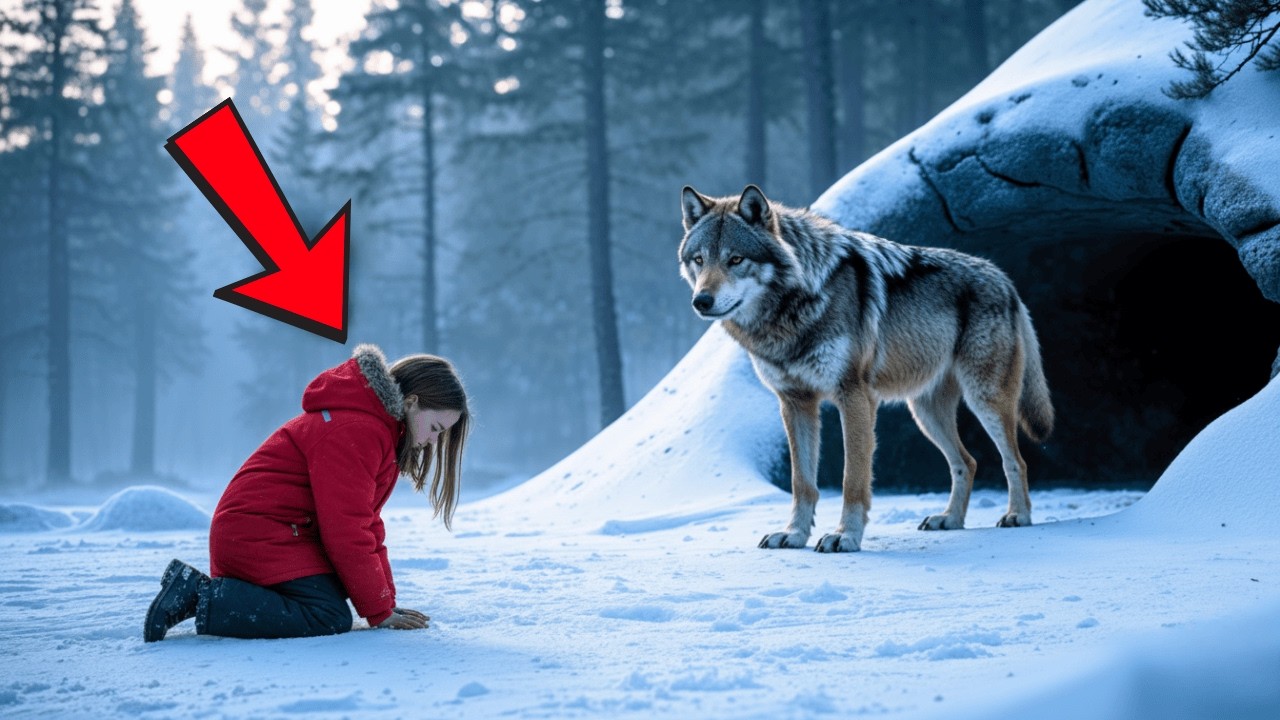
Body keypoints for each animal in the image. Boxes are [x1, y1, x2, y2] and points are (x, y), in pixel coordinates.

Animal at [678, 185, 1054, 553]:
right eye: (699, 260)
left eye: (735, 259)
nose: (701, 301)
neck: (792, 309)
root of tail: (1004, 279)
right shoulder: (795, 403)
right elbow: (802, 482)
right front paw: (794, 535)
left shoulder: (854, 397)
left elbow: (852, 479)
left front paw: (845, 537)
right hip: (925, 413)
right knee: (967, 462)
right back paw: (949, 519)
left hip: (984, 400)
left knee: (1015, 460)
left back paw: (1018, 515)